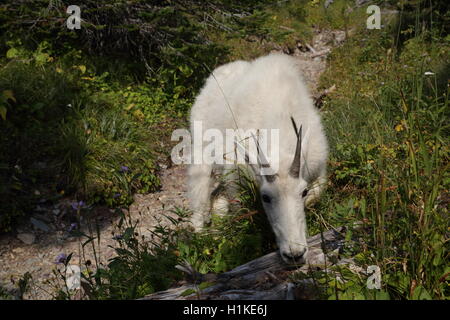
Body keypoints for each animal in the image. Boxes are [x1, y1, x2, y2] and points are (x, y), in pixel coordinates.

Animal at [186, 53, 326, 264]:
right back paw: (203, 238)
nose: (295, 254)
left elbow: (316, 195)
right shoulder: (237, 176)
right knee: (200, 198)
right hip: (202, 154)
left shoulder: (317, 168)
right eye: (265, 197)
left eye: (303, 191)